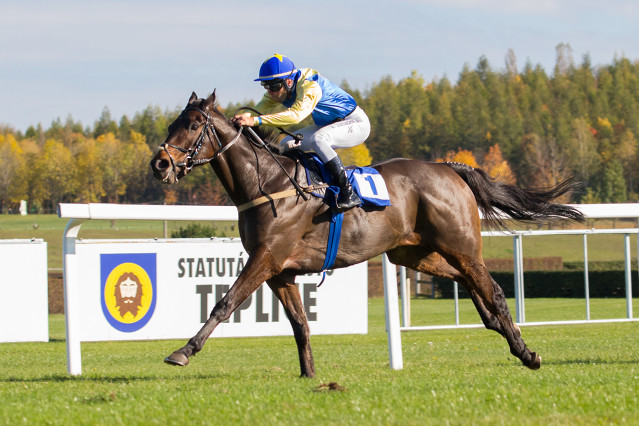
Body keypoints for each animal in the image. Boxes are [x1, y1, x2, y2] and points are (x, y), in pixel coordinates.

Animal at [151, 91, 584, 378]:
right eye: (172, 123)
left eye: (194, 125)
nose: (160, 164)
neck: (269, 183)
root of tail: (449, 168)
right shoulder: (280, 270)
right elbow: (299, 323)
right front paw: (309, 375)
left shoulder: (267, 257)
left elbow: (224, 304)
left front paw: (183, 351)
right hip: (413, 253)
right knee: (469, 283)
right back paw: (499, 327)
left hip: (461, 246)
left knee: (492, 289)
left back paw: (526, 352)